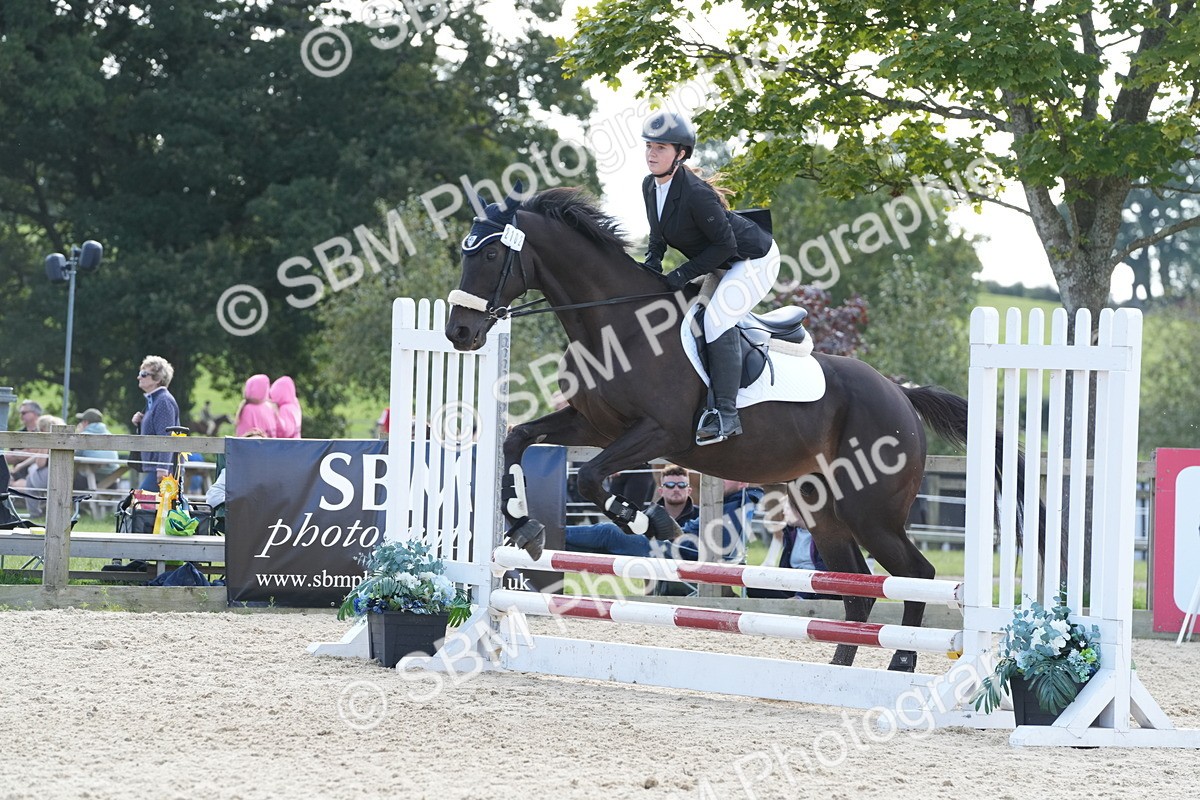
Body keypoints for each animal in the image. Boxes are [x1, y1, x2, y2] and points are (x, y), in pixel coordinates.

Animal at [446, 185, 1001, 672]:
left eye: (491, 256)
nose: (459, 332)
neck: (616, 325)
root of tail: (901, 394)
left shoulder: (659, 434)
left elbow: (589, 478)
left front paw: (654, 523)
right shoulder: (592, 425)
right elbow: (519, 438)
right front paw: (525, 524)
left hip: (873, 511)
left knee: (916, 575)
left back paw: (902, 661)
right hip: (824, 507)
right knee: (858, 589)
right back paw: (840, 670)